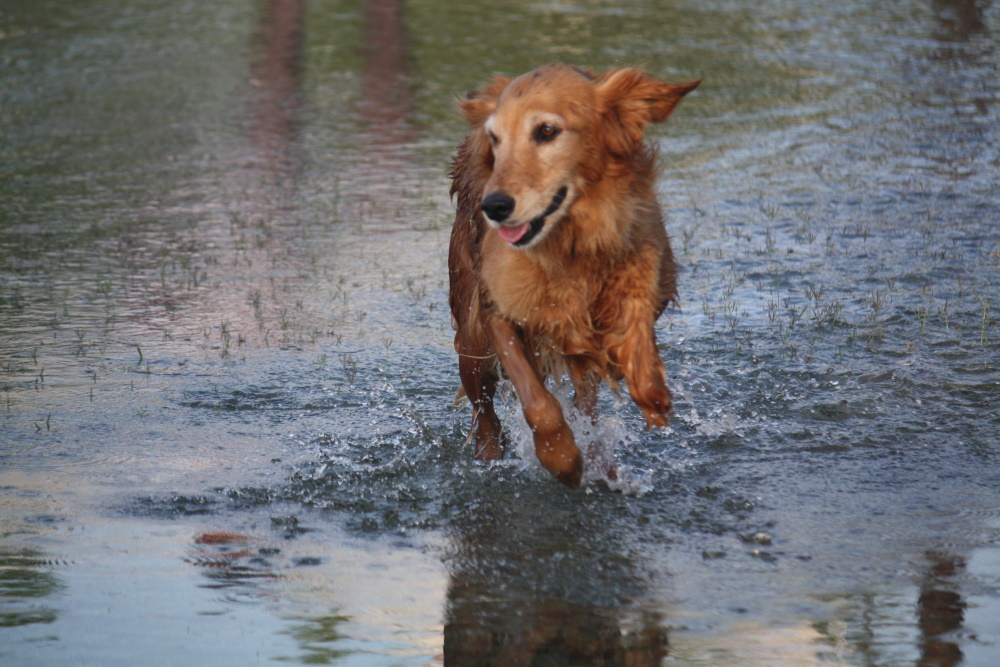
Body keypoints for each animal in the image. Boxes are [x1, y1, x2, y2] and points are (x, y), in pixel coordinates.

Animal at [450, 65, 700, 488]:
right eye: (495, 138)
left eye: (547, 131)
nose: (494, 206)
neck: (570, 245)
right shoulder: (496, 311)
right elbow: (539, 404)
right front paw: (560, 457)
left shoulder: (633, 278)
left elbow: (634, 322)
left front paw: (649, 387)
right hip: (470, 342)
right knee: (486, 417)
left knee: (586, 405)